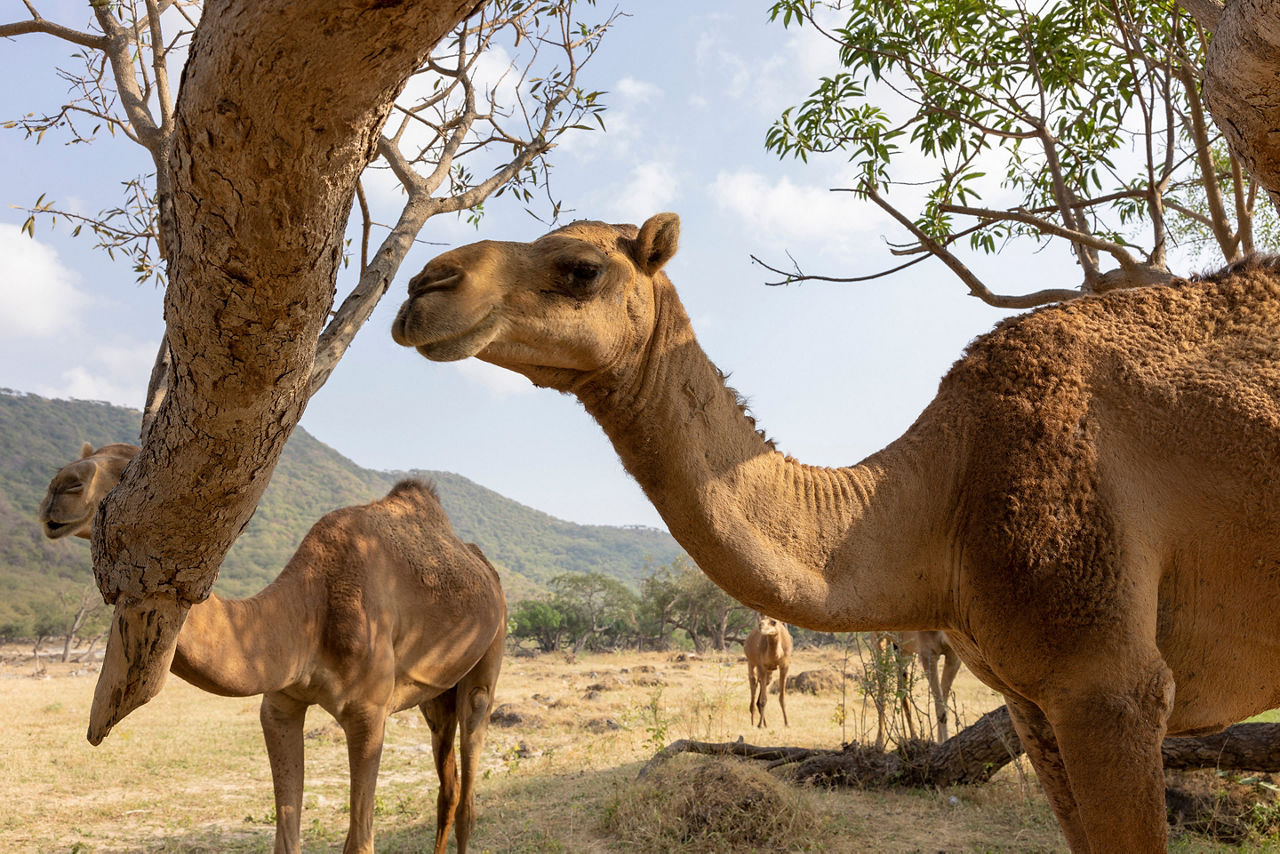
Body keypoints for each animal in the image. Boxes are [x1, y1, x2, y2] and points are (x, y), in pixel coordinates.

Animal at [36, 448, 504, 854]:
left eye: (130, 472)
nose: (60, 488)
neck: (312, 606)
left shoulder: (369, 712)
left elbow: (359, 842)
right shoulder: (280, 704)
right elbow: (286, 838)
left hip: (489, 653)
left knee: (470, 769)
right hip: (435, 696)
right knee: (448, 785)